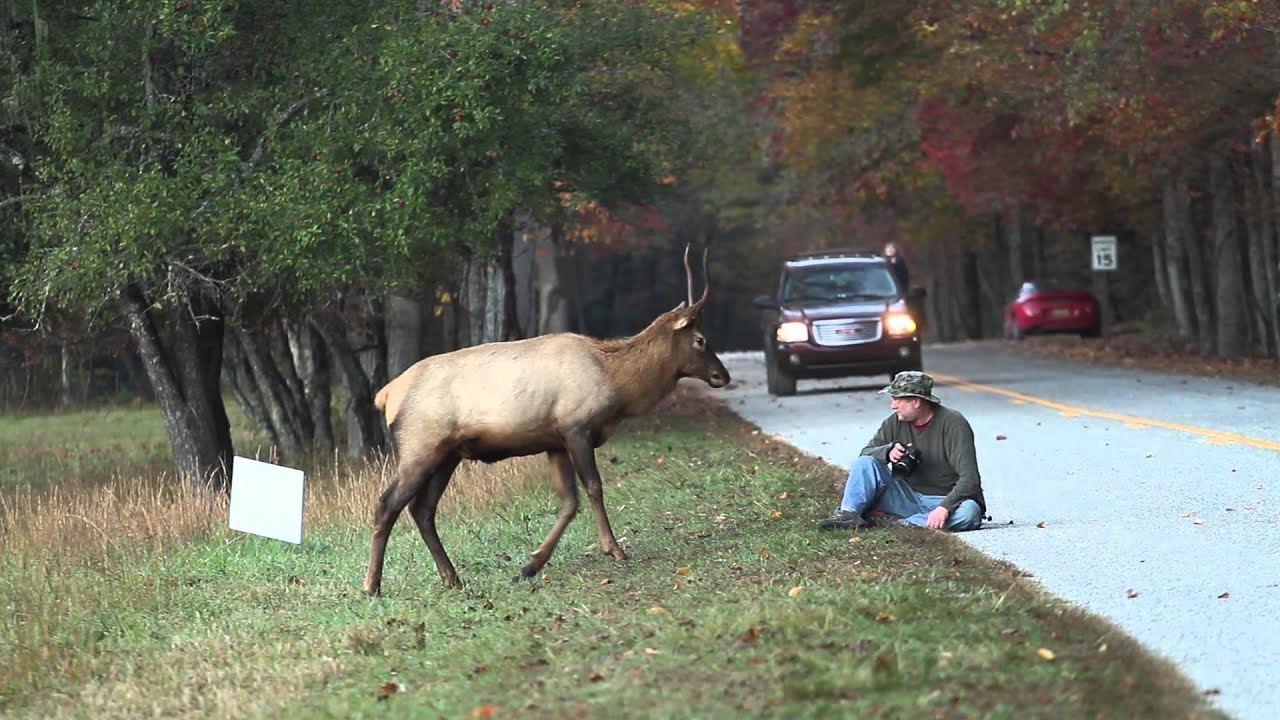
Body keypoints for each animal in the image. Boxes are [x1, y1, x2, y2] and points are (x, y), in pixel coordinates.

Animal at [366, 244, 732, 594]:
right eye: (700, 340)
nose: (722, 375)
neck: (618, 384)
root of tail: (386, 395)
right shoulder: (576, 427)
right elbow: (594, 488)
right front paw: (614, 549)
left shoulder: (553, 441)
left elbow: (569, 501)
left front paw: (530, 565)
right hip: (420, 445)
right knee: (387, 503)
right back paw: (372, 585)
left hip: (447, 455)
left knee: (422, 510)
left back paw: (451, 577)